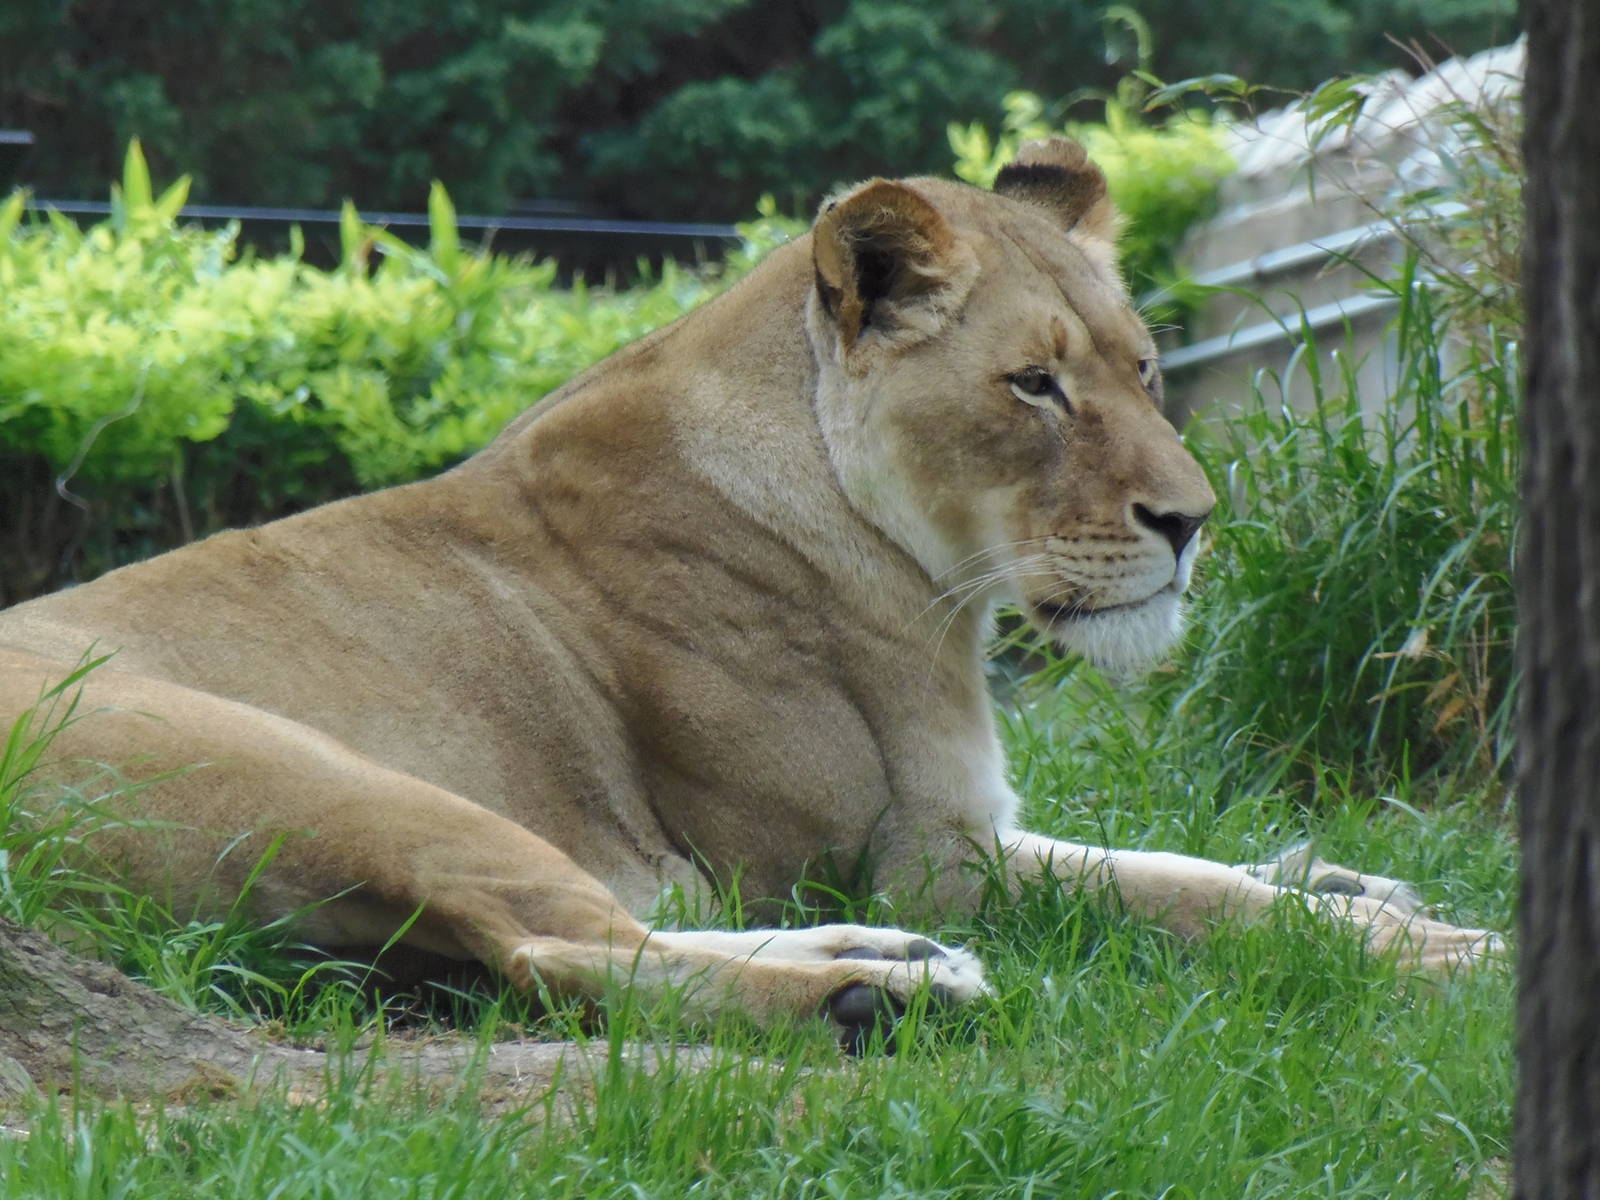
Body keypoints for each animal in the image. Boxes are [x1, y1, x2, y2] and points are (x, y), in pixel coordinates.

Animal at [0, 139, 1498, 1048]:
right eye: (1032, 384)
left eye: (1140, 368)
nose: (1192, 525)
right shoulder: (924, 851)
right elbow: (1181, 899)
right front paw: (1434, 950)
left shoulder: (952, 838)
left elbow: (1182, 861)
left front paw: (1354, 879)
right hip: (322, 772)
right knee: (552, 954)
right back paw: (874, 996)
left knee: (577, 934)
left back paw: (889, 964)